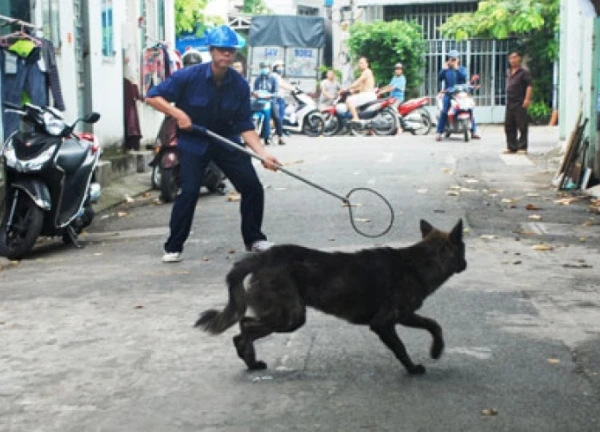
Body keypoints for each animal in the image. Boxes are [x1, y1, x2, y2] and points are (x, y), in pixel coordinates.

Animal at [195, 219, 466, 374]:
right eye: (463, 249)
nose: (465, 264)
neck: (417, 264)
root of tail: (263, 257)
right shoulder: (384, 323)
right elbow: (400, 347)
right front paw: (411, 368)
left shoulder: (406, 315)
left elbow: (434, 325)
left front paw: (436, 350)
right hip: (290, 317)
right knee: (245, 328)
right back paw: (248, 357)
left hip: (285, 316)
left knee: (243, 326)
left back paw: (249, 361)